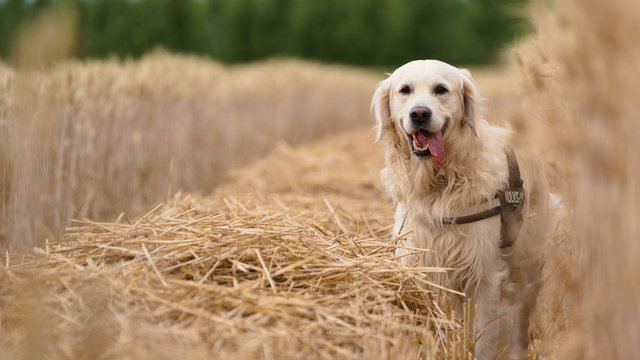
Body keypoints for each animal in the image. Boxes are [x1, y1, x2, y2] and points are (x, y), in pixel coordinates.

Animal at [370, 60, 556, 358]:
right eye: (405, 90)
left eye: (441, 89)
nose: (419, 113)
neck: (438, 184)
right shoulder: (424, 263)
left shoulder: (485, 276)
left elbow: (483, 341)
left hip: (528, 264)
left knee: (520, 324)